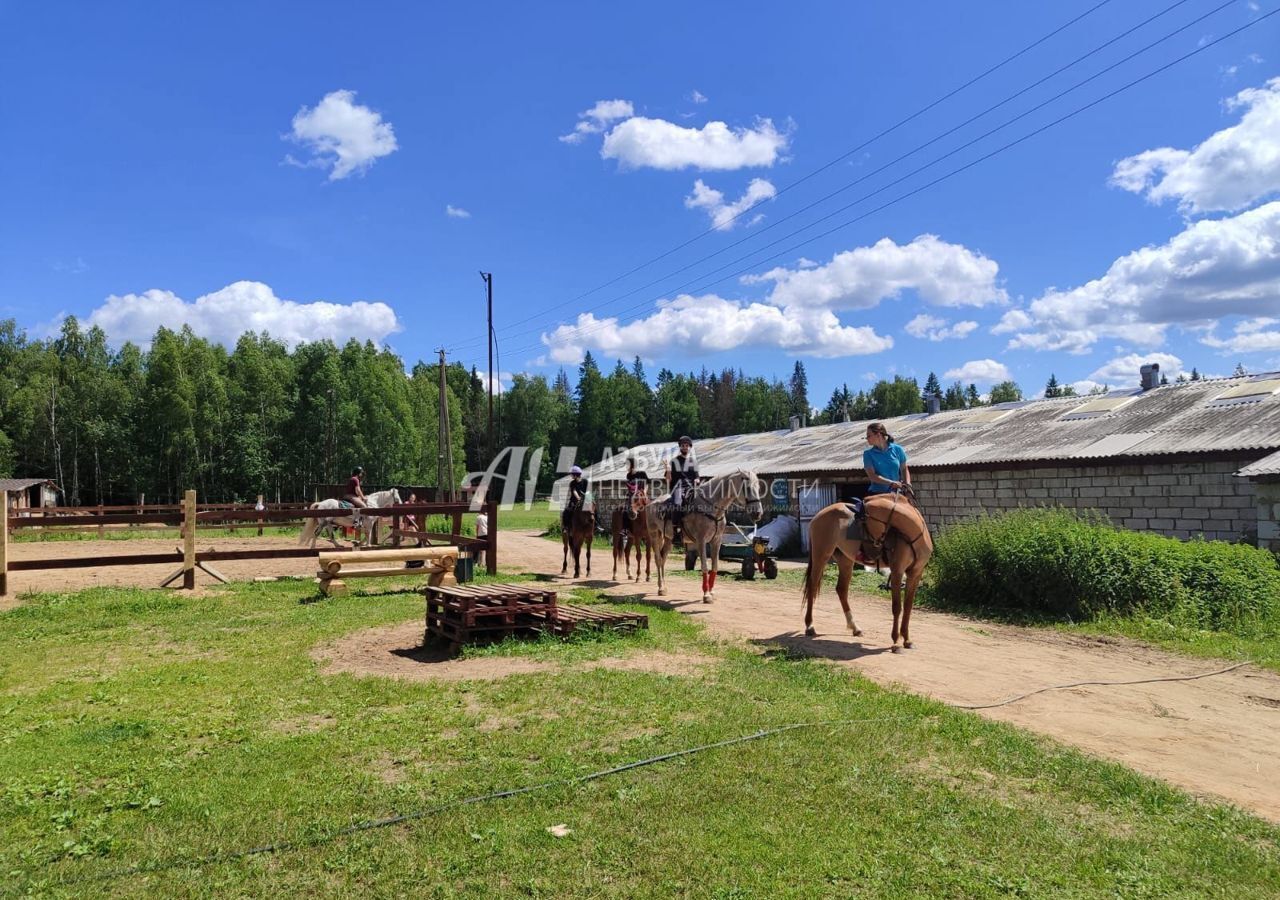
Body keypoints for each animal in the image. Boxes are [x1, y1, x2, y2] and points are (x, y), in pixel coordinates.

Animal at [645, 468, 762, 601]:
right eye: (747, 488)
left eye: (758, 488)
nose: (758, 513)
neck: (710, 507)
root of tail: (651, 503)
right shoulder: (701, 541)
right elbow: (704, 566)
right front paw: (706, 594)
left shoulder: (716, 541)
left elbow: (715, 566)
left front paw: (711, 592)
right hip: (655, 535)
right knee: (658, 559)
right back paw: (660, 588)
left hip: (669, 539)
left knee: (663, 558)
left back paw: (664, 588)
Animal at [798, 491, 931, 655]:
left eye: (862, 522)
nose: (873, 550)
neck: (912, 535)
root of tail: (818, 516)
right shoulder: (897, 572)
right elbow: (897, 607)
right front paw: (895, 642)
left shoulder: (915, 574)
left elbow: (908, 607)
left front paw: (907, 640)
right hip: (821, 556)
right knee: (812, 586)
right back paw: (810, 626)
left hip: (845, 560)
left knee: (841, 589)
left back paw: (855, 628)